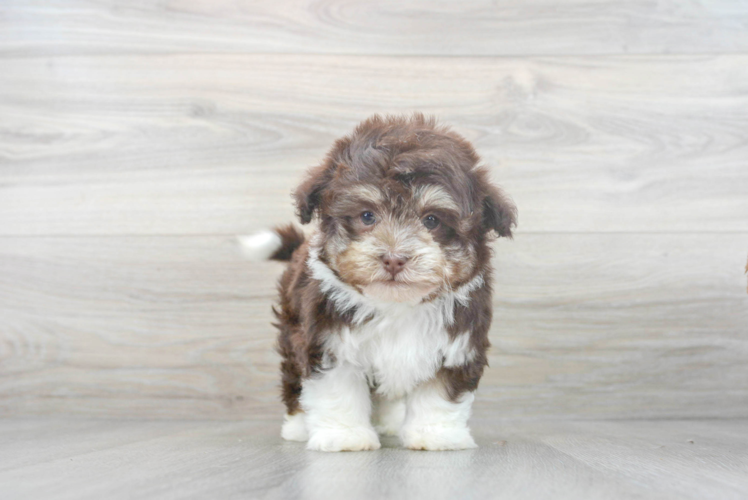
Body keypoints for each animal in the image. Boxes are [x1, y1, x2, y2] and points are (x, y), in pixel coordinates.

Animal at [243, 115, 516, 452]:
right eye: (367, 216)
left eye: (432, 220)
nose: (394, 259)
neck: (396, 305)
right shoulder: (328, 342)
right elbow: (338, 392)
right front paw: (344, 436)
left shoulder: (458, 345)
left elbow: (440, 394)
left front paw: (436, 435)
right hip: (292, 331)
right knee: (293, 380)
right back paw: (297, 426)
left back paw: (388, 424)